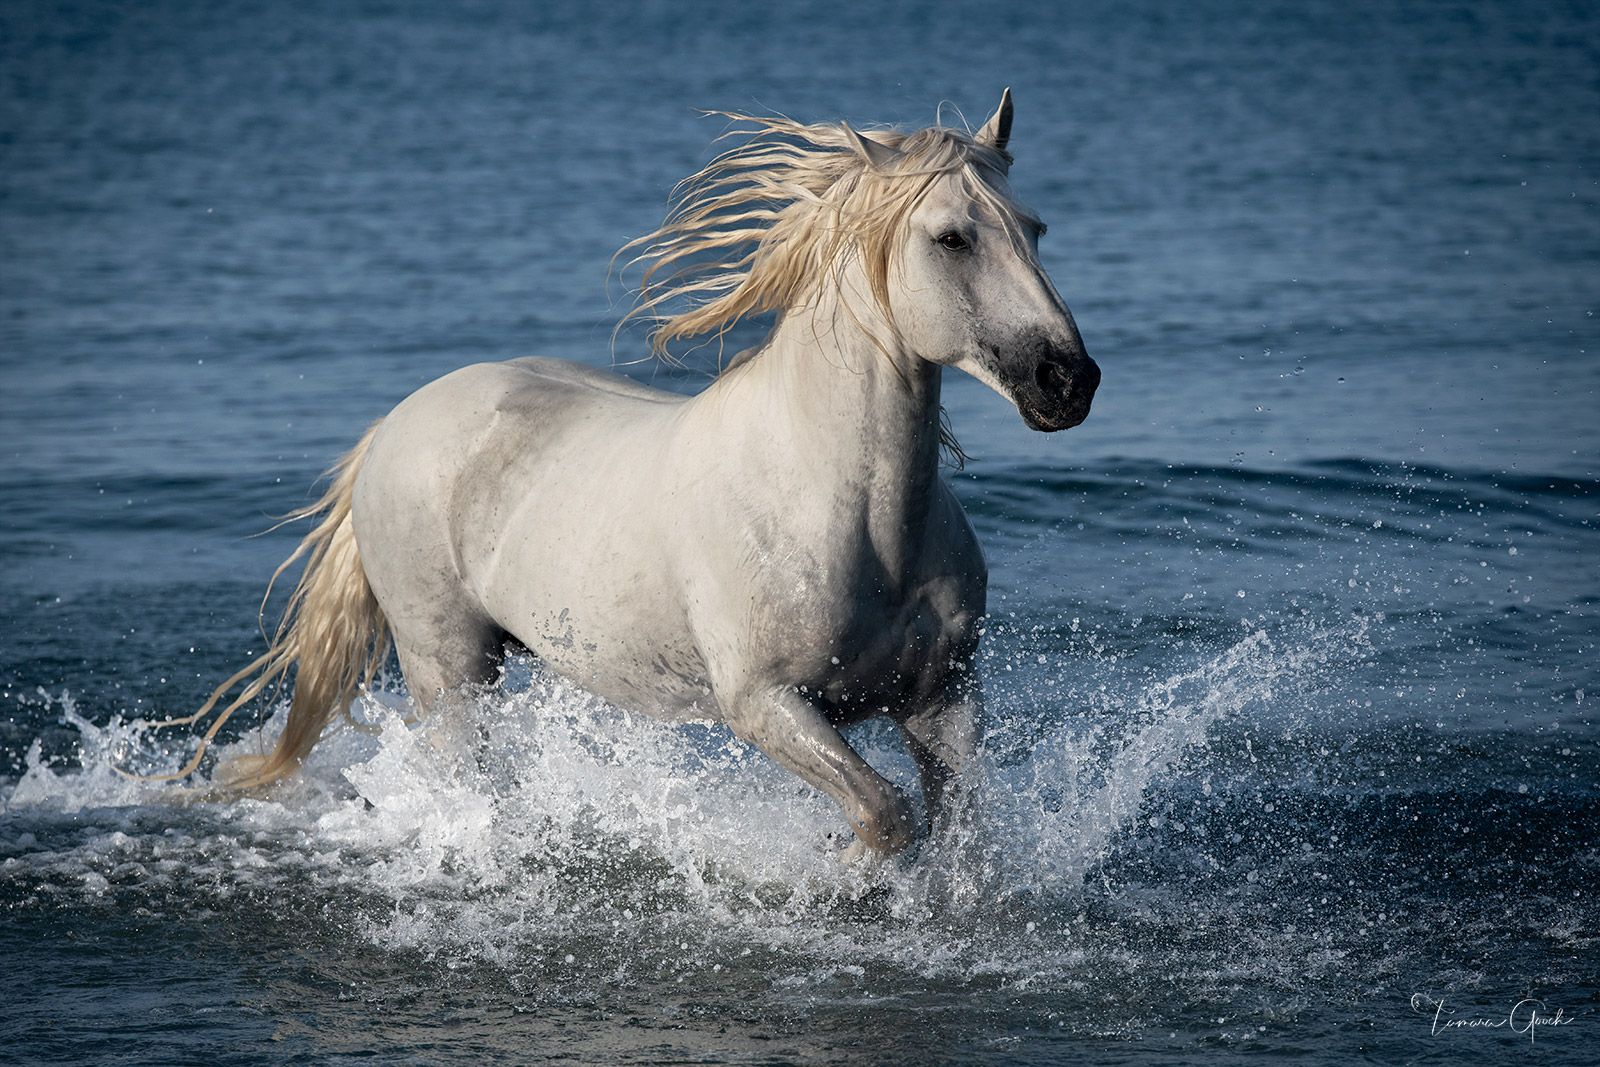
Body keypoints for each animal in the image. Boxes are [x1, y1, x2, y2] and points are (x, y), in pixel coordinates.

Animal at [156, 90, 1099, 857]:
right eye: (952, 237)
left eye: (1037, 230)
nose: (1068, 380)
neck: (849, 516)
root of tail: (395, 424)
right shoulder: (765, 704)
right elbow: (885, 818)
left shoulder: (945, 698)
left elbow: (959, 838)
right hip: (446, 668)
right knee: (469, 785)